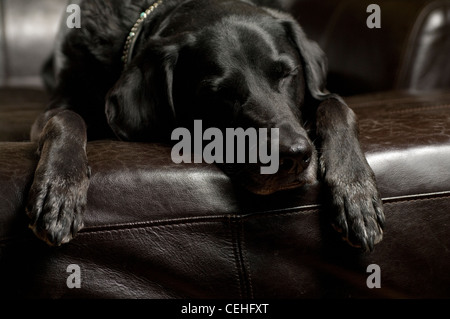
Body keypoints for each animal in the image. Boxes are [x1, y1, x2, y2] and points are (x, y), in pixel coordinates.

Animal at [26, 0, 384, 250]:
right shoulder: (59, 104)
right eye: (219, 93)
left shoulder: (319, 95)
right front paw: (59, 188)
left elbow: (336, 106)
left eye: (287, 74)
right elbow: (66, 118)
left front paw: (355, 193)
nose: (294, 156)